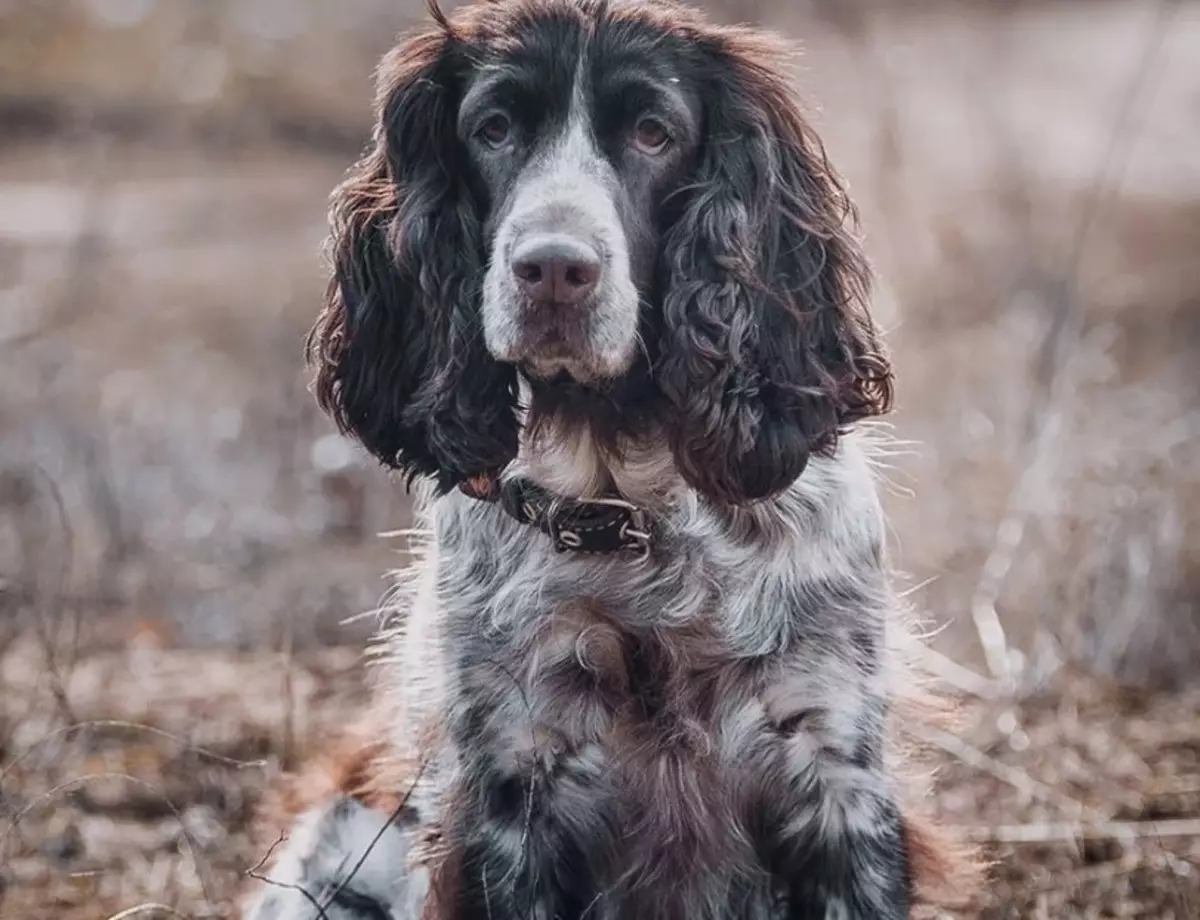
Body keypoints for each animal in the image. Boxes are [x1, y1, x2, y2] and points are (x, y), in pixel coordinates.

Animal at [241, 1, 974, 920]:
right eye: (493, 128)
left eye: (654, 133)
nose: (554, 270)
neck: (628, 512)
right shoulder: (512, 793)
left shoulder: (835, 775)